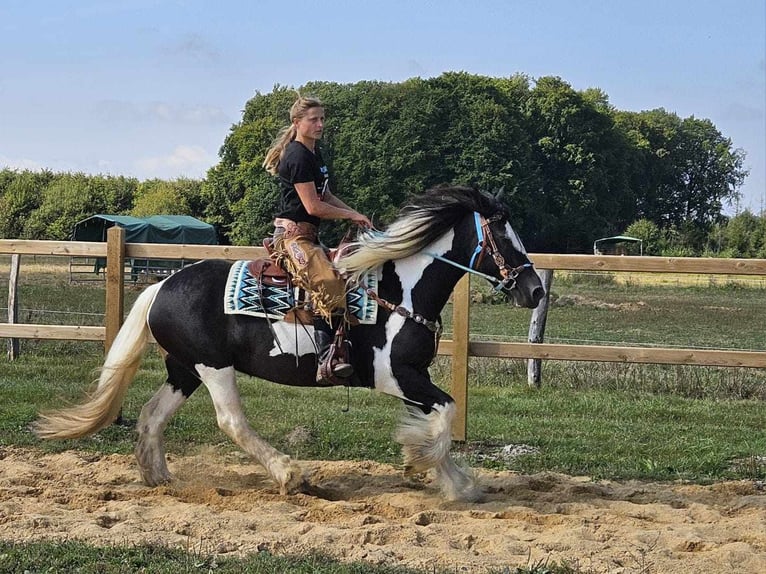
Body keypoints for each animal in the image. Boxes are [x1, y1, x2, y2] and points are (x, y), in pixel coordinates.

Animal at [33, 187, 544, 502]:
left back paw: (158, 476)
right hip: (213, 367)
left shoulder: (413, 377)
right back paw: (289, 474)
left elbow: (437, 418)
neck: (401, 292)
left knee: (151, 415)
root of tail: (161, 286)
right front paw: (426, 468)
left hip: (184, 369)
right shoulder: (394, 375)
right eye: (504, 235)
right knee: (231, 421)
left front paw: (455, 483)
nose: (535, 290)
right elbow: (445, 414)